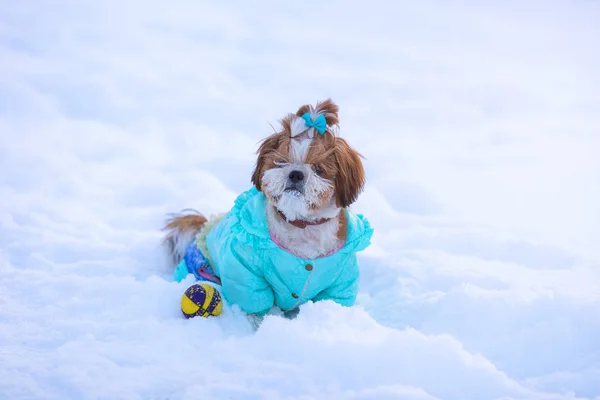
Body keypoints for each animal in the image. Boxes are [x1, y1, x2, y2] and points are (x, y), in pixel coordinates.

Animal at [162, 98, 372, 320]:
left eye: (318, 168)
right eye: (282, 161)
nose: (296, 174)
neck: (302, 225)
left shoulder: (340, 282)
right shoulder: (245, 271)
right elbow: (255, 303)